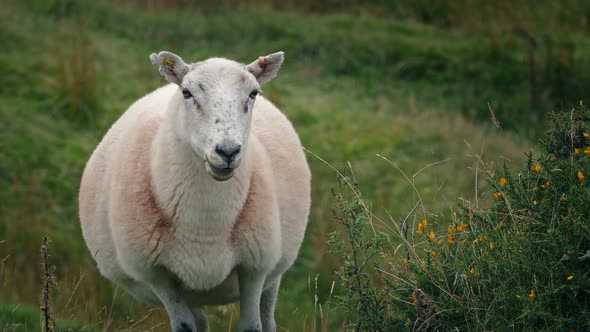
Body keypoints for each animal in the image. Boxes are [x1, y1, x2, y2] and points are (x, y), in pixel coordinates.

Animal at [78, 50, 312, 332]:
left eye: (254, 93)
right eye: (187, 92)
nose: (227, 151)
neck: (205, 227)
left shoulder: (255, 268)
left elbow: (251, 326)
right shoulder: (157, 275)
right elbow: (185, 327)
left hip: (273, 273)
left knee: (267, 319)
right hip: (189, 291)